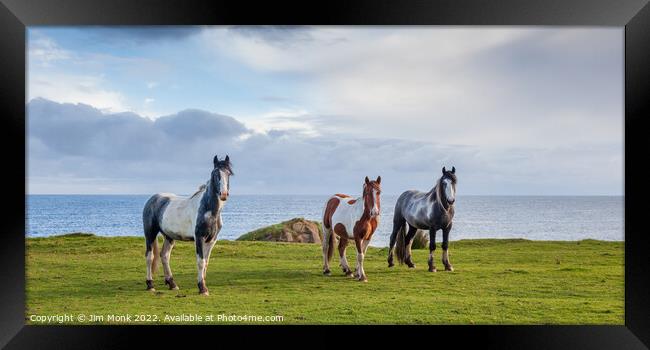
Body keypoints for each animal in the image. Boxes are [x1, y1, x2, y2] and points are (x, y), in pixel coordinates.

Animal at [142, 154, 233, 294]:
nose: (223, 194)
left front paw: (203, 285)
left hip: (169, 236)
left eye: (228, 173)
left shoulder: (212, 240)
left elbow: (206, 263)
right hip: (150, 234)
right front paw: (202, 288)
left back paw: (172, 284)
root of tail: (153, 199)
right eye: (215, 173)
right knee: (149, 256)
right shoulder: (199, 238)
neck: (208, 209)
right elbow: (200, 262)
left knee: (164, 256)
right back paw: (150, 285)